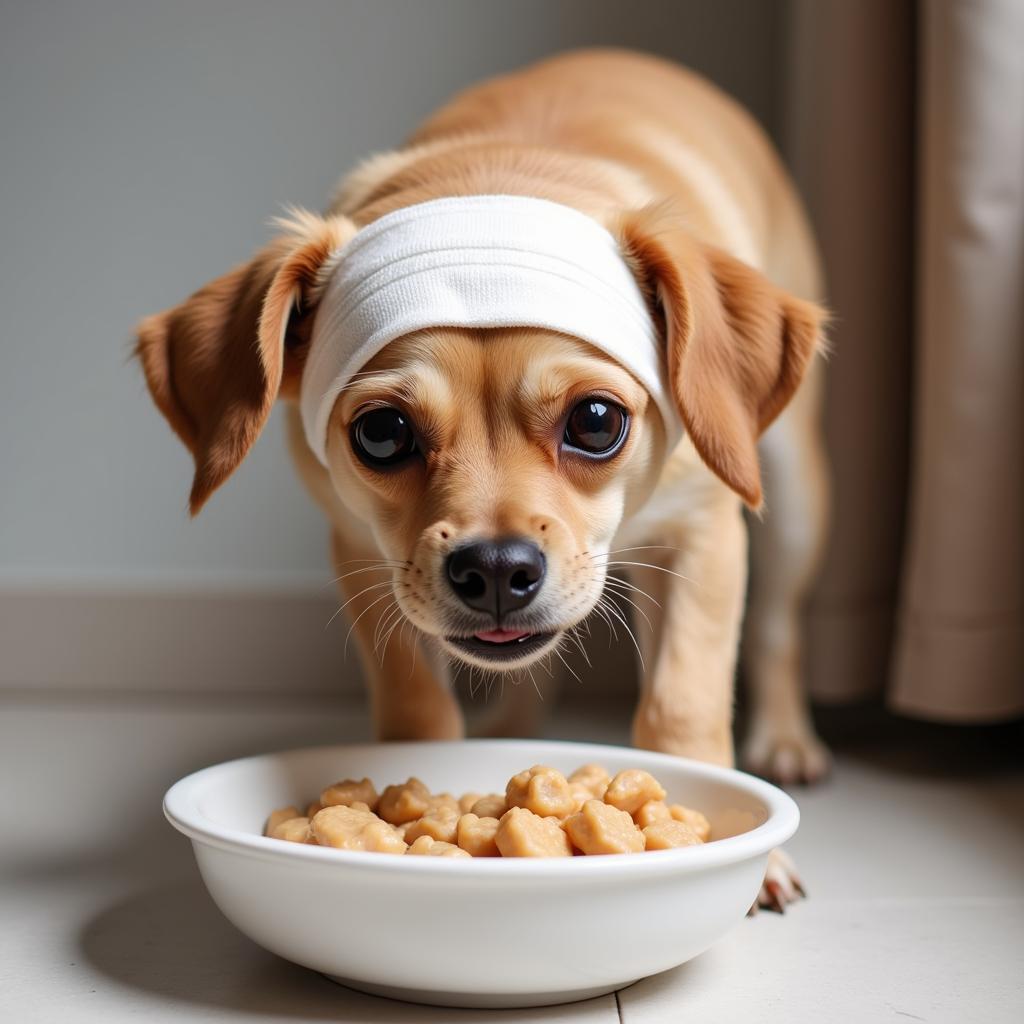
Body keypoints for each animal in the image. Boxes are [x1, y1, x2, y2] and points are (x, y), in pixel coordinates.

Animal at [136, 51, 831, 909]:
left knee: (778, 627)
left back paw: (787, 738)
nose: (497, 570)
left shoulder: (705, 537)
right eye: (381, 432)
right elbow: (418, 708)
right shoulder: (363, 556)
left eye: (597, 421)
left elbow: (683, 707)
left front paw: (750, 858)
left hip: (794, 499)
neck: (502, 174)